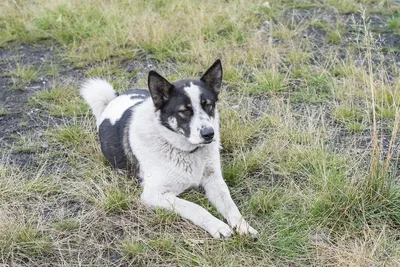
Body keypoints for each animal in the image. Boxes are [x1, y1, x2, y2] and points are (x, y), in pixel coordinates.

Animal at [79, 60, 258, 239]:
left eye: (209, 105)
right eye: (184, 111)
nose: (209, 134)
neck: (185, 150)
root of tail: (114, 99)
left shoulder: (213, 179)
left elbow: (230, 205)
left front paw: (243, 226)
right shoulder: (154, 195)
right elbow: (195, 207)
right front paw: (218, 226)